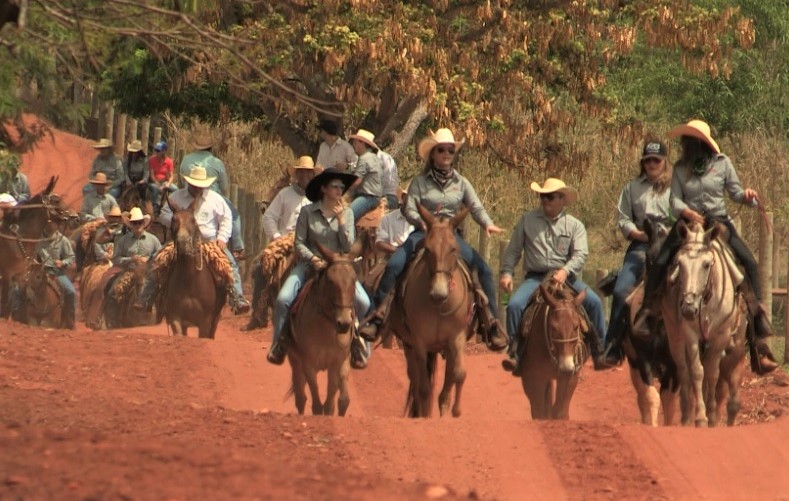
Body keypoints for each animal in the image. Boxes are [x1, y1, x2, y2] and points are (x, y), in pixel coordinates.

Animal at [160, 199, 226, 340]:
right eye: (173, 219)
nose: (183, 242)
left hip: (216, 318)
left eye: (193, 220)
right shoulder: (176, 318)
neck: (189, 280)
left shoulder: (205, 321)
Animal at [284, 242, 362, 414]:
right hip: (295, 360)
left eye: (354, 280)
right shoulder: (308, 363)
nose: (344, 323)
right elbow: (317, 405)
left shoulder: (338, 361)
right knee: (300, 398)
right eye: (331, 281)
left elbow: (337, 401)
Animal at [384, 201, 470, 416]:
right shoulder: (419, 342)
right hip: (409, 345)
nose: (439, 293)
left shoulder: (456, 338)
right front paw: (423, 416)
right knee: (416, 382)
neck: (439, 306)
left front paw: (455, 412)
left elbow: (458, 375)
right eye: (428, 249)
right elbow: (423, 389)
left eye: (453, 249)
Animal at [516, 282, 588, 418]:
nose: (566, 366)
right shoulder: (534, 380)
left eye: (576, 326)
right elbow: (539, 412)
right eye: (553, 327)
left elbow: (560, 411)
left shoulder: (570, 378)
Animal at [664, 219, 744, 426]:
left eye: (707, 264)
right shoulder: (690, 334)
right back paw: (686, 415)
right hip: (675, 336)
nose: (688, 308)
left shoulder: (722, 337)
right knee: (684, 370)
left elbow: (713, 374)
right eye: (679, 263)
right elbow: (697, 372)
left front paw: (713, 415)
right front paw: (701, 416)